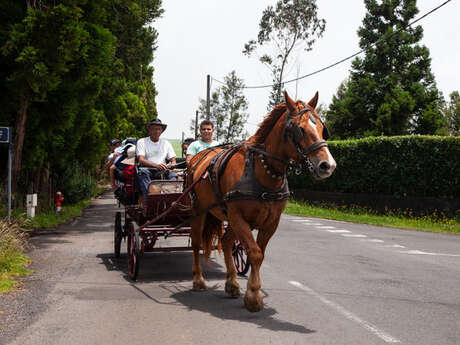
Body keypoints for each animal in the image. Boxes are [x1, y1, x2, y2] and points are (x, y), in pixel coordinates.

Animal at [185, 91, 336, 312]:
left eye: (322, 129)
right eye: (299, 129)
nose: (327, 165)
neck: (261, 170)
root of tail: (198, 157)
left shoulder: (271, 221)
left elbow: (259, 254)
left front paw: (249, 290)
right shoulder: (238, 217)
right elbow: (254, 253)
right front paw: (254, 296)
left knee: (226, 241)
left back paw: (232, 283)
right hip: (199, 211)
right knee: (196, 243)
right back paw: (198, 280)